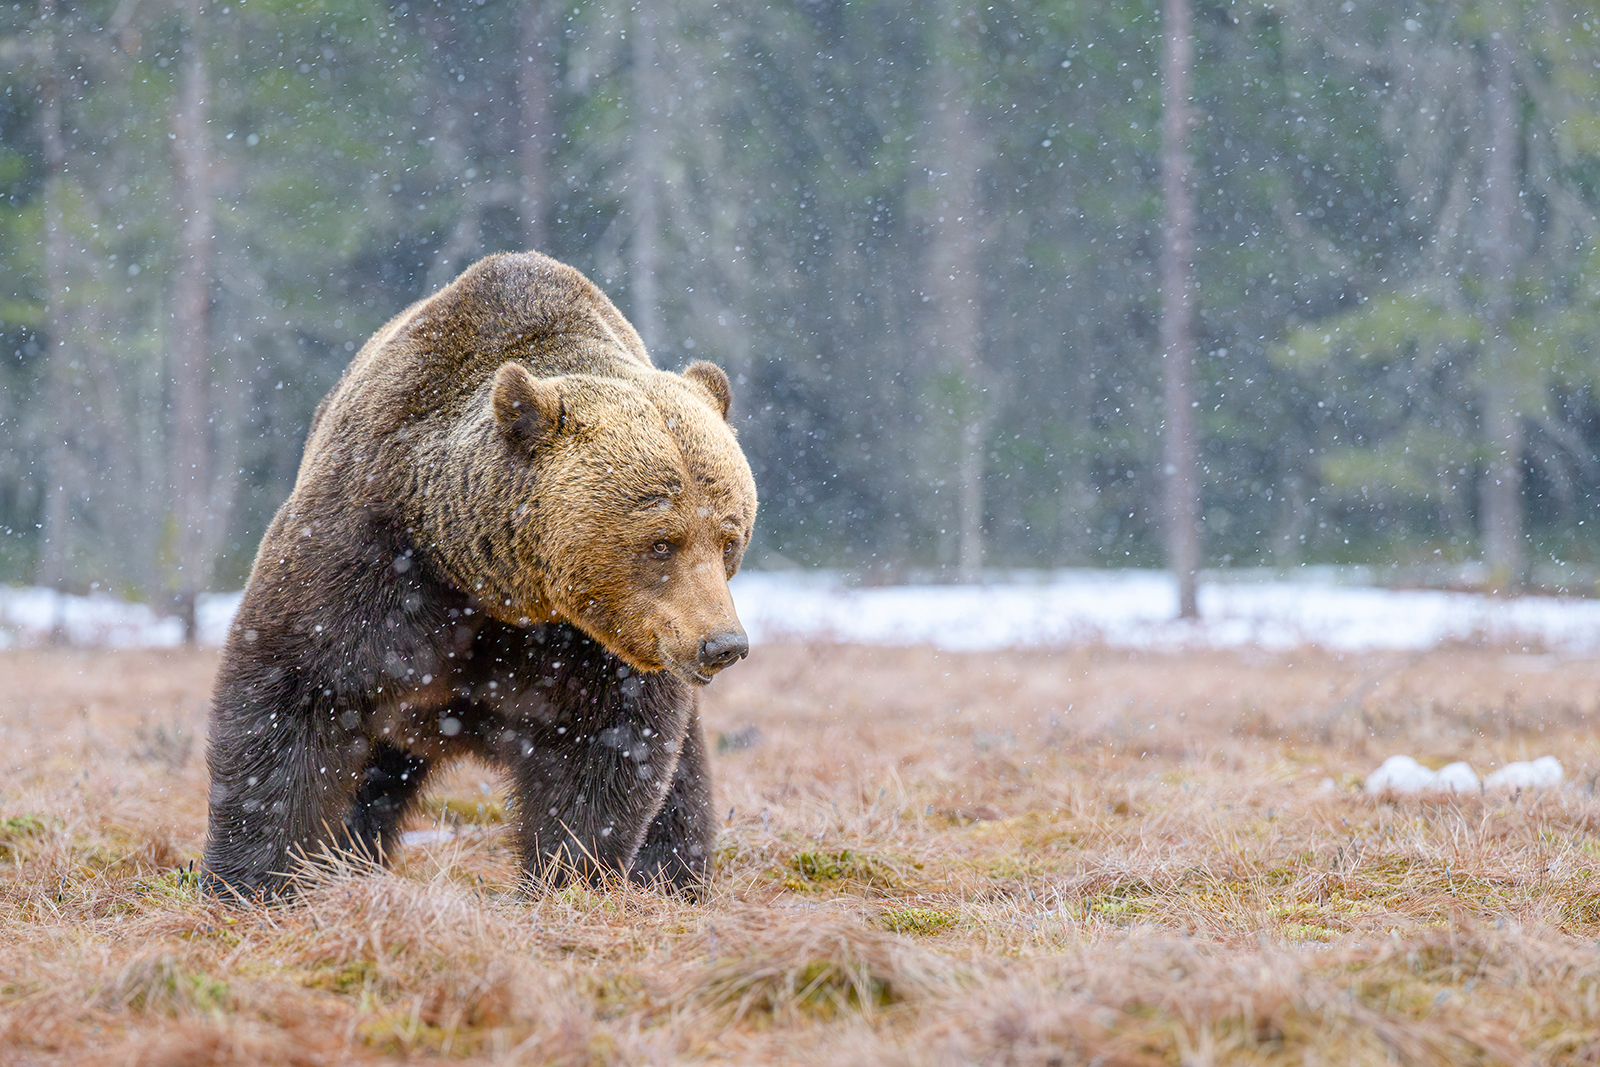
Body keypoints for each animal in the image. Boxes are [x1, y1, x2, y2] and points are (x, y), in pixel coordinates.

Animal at [203, 251, 757, 899]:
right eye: (662, 542)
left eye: (729, 539)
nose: (723, 643)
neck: (493, 585)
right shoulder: (373, 549)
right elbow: (294, 693)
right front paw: (250, 879)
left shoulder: (594, 645)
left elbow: (608, 746)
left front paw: (564, 875)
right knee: (367, 778)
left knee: (682, 783)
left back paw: (672, 876)